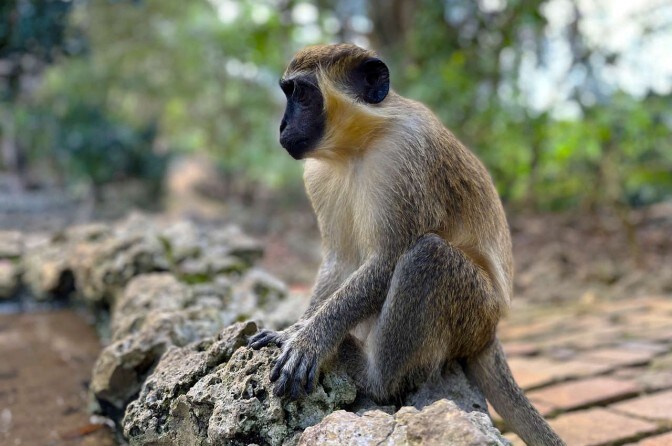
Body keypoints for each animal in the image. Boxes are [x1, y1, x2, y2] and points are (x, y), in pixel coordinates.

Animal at [248, 43, 564, 446]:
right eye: (288, 92)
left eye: (301, 95)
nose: (283, 127)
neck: (358, 145)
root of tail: (491, 331)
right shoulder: (317, 174)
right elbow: (340, 260)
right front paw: (294, 329)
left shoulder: (403, 154)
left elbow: (390, 257)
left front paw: (310, 340)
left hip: (476, 311)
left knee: (428, 255)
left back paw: (372, 375)